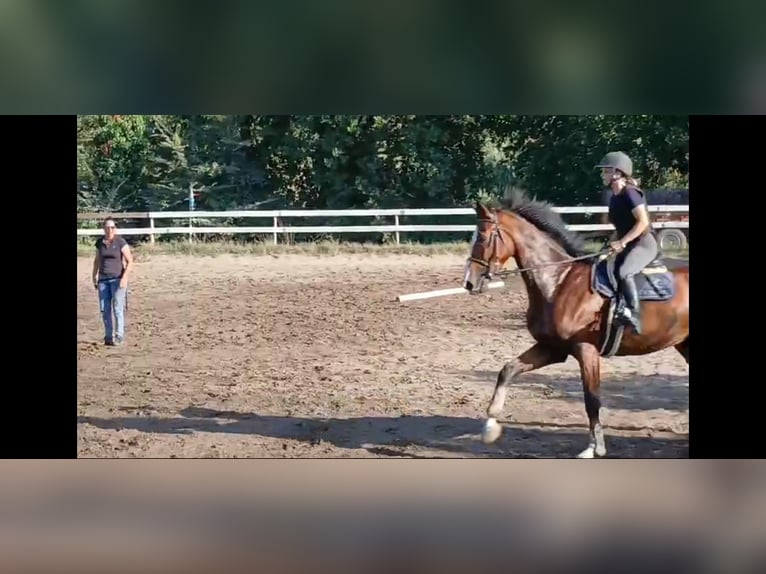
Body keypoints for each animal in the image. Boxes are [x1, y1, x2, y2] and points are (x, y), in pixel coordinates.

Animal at [464, 192, 692, 460]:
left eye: (483, 237)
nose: (469, 282)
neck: (559, 281)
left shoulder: (586, 349)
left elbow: (591, 399)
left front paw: (595, 447)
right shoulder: (553, 348)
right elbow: (507, 370)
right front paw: (490, 427)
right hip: (685, 344)